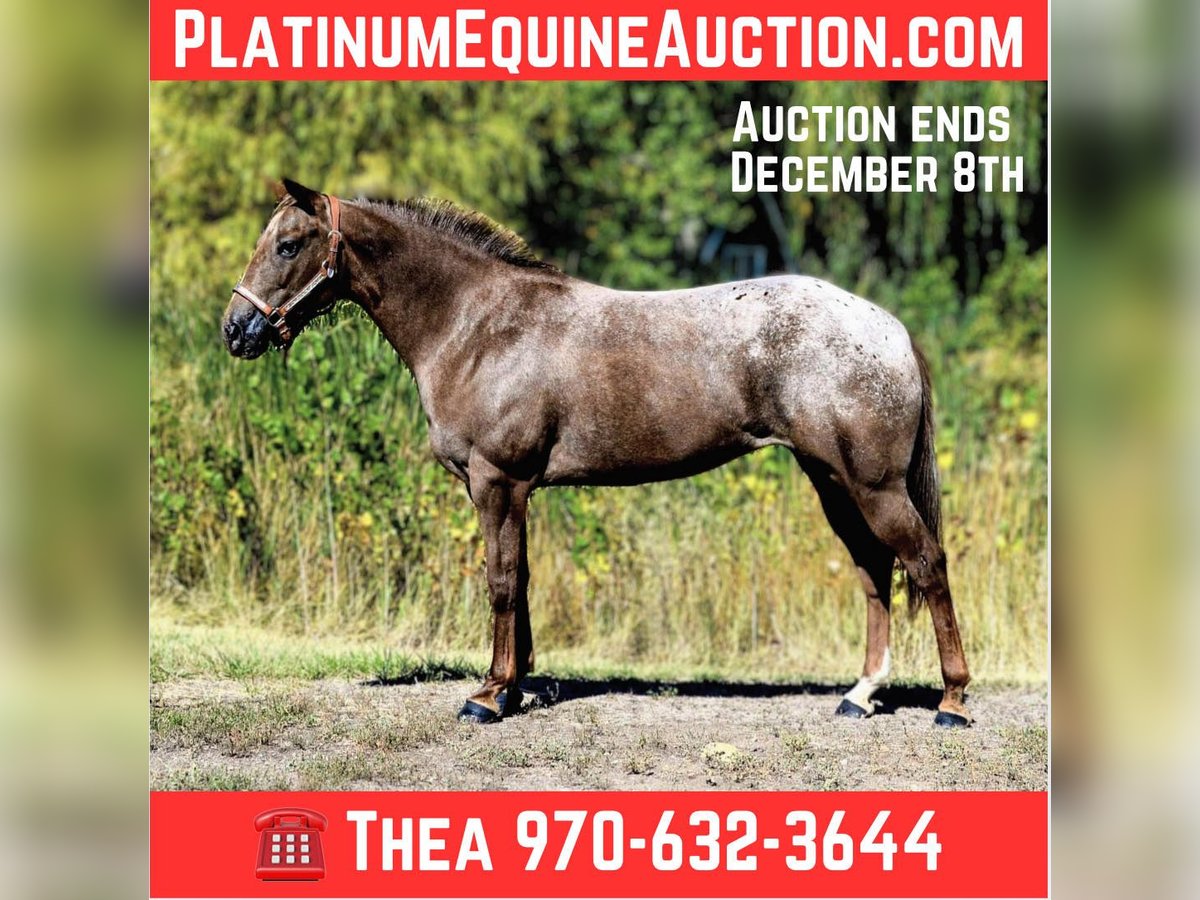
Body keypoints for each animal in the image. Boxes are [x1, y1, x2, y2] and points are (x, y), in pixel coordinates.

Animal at [222, 179, 972, 728]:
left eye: (289, 244)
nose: (236, 330)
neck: (477, 324)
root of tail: (890, 329)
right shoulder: (511, 490)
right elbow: (520, 580)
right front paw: (514, 686)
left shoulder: (498, 482)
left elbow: (501, 581)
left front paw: (487, 697)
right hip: (833, 481)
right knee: (875, 571)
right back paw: (860, 695)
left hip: (872, 484)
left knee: (926, 563)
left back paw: (953, 703)